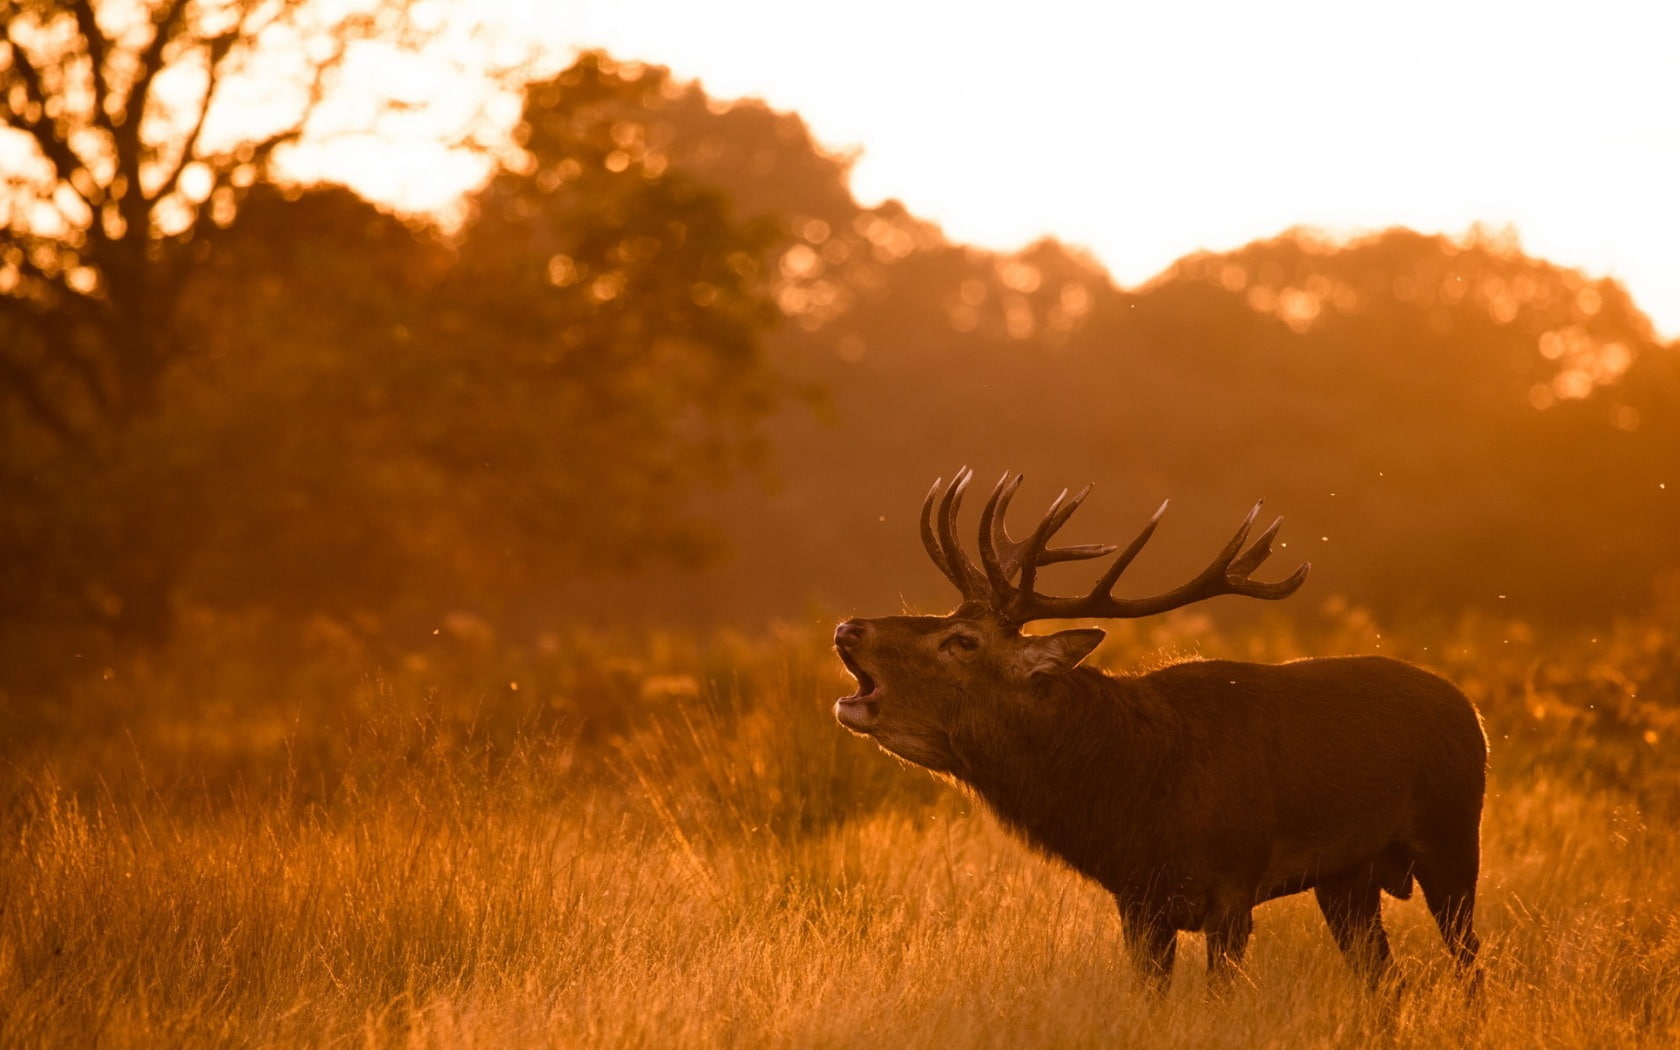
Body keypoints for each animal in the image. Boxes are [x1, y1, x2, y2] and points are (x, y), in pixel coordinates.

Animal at [832, 468, 1487, 994]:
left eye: (962, 641)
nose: (848, 628)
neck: (1138, 797)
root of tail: (1471, 709)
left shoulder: (1234, 885)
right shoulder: (1138, 900)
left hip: (1453, 838)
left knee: (1471, 962)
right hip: (1348, 879)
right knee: (1387, 982)